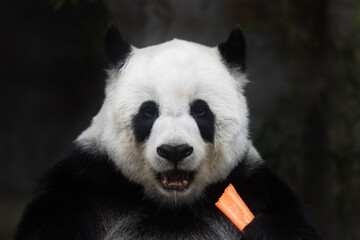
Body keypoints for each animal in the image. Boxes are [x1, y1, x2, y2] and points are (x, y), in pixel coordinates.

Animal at [13, 25, 320, 239]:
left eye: (200, 111)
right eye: (148, 111)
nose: (175, 150)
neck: (172, 205)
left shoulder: (250, 183)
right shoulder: (86, 184)